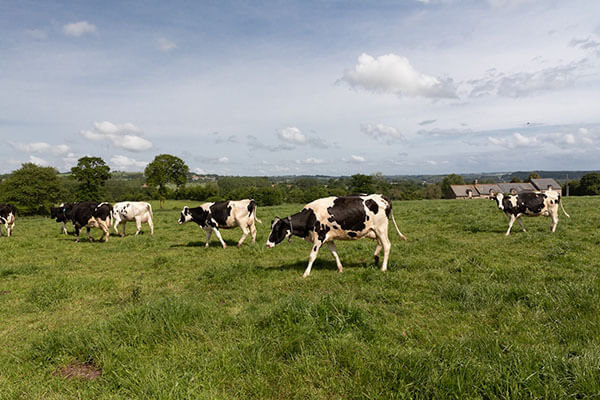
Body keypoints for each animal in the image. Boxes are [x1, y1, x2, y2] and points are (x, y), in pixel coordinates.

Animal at [264, 195, 406, 276]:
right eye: (271, 227)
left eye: (277, 229)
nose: (267, 244)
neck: (310, 216)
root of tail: (382, 197)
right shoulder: (328, 238)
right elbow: (334, 253)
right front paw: (340, 269)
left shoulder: (319, 237)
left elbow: (312, 256)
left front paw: (306, 273)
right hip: (375, 230)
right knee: (380, 244)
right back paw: (376, 258)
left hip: (381, 228)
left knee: (387, 245)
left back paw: (383, 268)